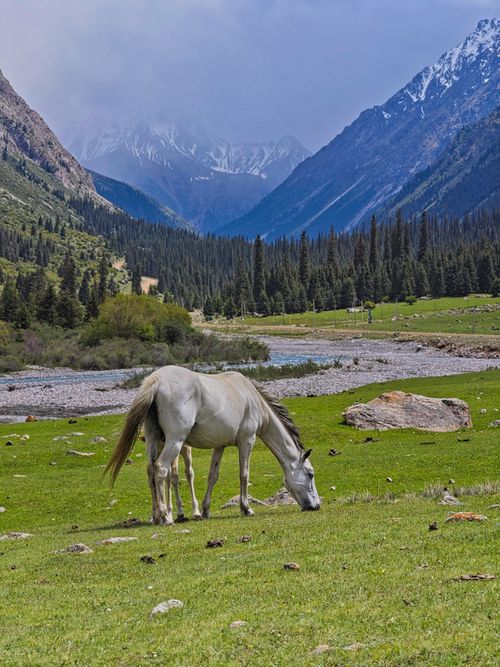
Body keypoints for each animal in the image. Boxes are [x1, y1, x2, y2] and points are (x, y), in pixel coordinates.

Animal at [106, 365, 320, 525]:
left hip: (153, 439)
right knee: (160, 469)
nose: (316, 506)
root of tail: (156, 379)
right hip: (175, 441)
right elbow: (244, 474)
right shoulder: (247, 440)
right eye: (310, 474)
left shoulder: (220, 445)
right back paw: (167, 517)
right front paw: (246, 508)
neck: (252, 399)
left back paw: (157, 516)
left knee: (150, 471)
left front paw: (206, 510)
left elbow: (212, 476)